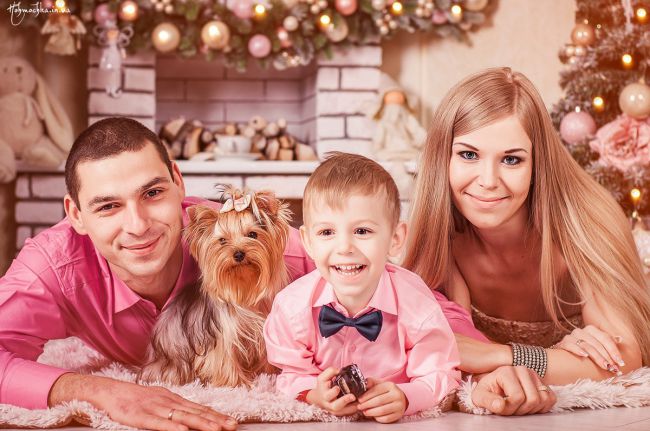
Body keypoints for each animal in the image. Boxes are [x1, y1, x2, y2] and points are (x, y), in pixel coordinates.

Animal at [138, 186, 291, 387]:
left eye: (252, 235)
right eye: (222, 241)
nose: (239, 253)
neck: (242, 287)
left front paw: (268, 374)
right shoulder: (222, 337)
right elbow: (224, 360)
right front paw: (238, 384)